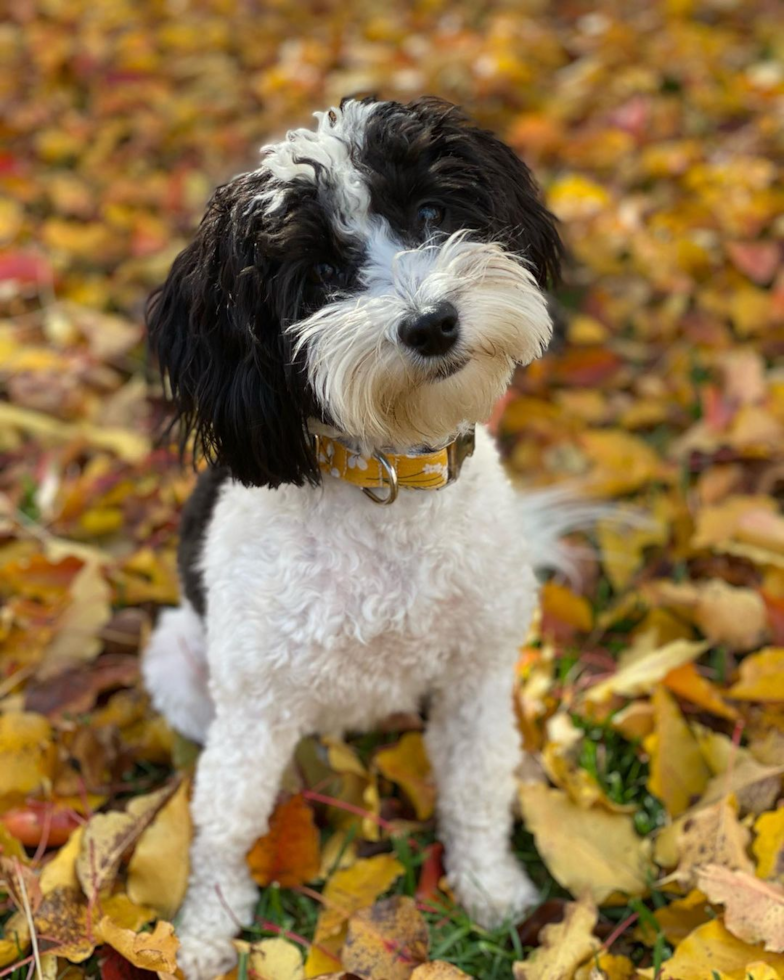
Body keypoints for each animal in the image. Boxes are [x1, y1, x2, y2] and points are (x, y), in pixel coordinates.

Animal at [142, 94, 568, 980]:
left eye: (432, 213)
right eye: (321, 276)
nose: (432, 323)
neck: (389, 480)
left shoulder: (476, 675)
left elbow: (477, 787)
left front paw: (492, 890)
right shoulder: (256, 707)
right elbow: (226, 822)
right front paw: (202, 932)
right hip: (178, 664)